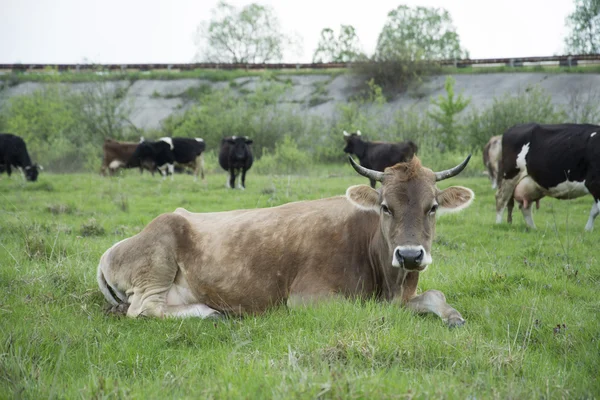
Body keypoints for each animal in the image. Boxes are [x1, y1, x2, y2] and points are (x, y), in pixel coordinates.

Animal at [97, 155, 474, 326]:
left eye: (433, 207)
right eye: (385, 207)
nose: (410, 255)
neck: (391, 281)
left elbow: (435, 295)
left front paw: (452, 316)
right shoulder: (307, 297)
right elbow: (365, 307)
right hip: (158, 260)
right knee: (143, 309)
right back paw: (211, 312)